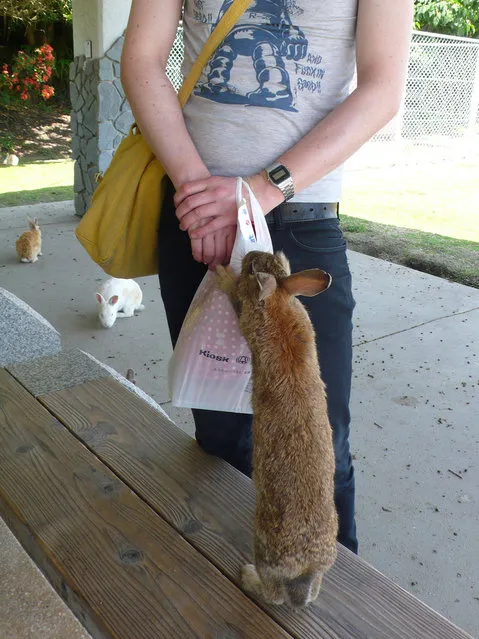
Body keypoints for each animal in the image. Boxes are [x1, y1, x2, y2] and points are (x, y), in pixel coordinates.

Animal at [218, 251, 338, 608]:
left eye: (250, 269)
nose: (250, 254)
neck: (279, 303)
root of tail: (304, 568)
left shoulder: (245, 316)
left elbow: (234, 300)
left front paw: (222, 277)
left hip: (264, 548)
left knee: (273, 594)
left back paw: (248, 577)